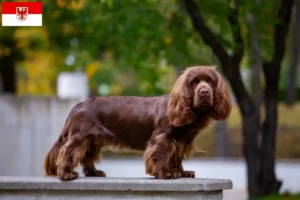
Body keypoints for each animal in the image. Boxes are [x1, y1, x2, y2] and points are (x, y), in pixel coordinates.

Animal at [44, 65, 232, 180]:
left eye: (210, 81)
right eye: (194, 82)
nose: (204, 92)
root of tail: (79, 104)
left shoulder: (180, 142)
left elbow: (176, 158)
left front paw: (181, 172)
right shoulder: (162, 139)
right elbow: (161, 156)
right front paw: (166, 173)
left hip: (92, 139)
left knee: (87, 156)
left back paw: (94, 172)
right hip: (80, 136)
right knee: (68, 152)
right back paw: (66, 174)